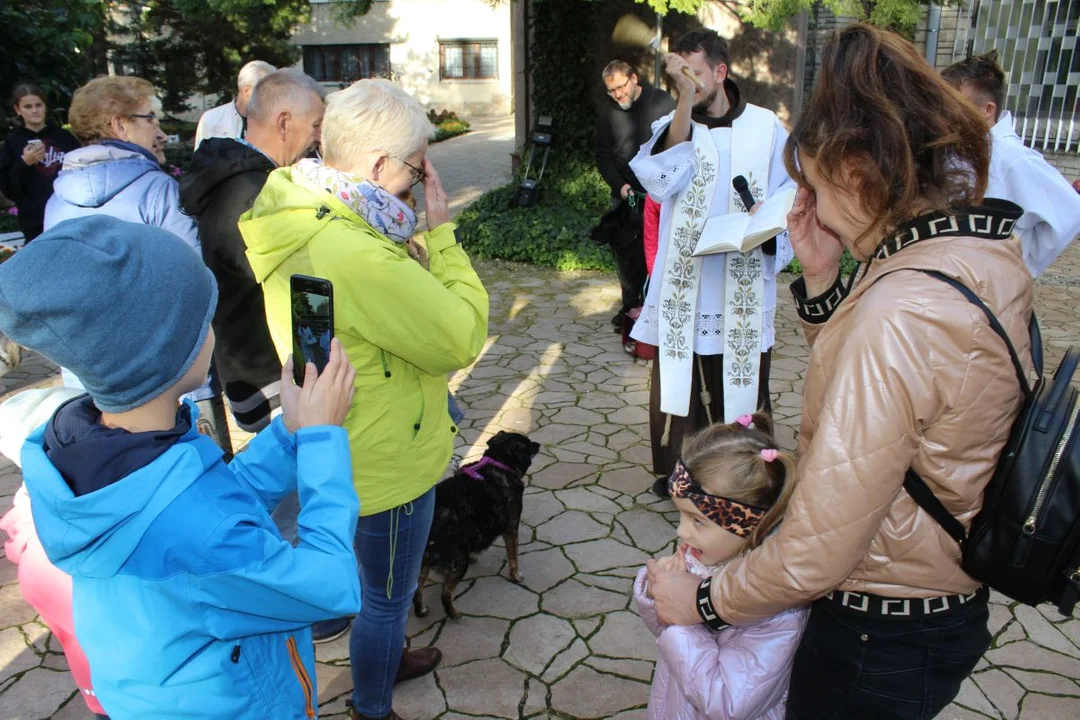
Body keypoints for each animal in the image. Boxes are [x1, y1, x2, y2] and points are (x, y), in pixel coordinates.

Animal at [412, 433, 540, 621]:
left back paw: (421, 611)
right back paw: (455, 614)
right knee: (445, 593)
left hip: (421, 565)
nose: (538, 444)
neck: (497, 463)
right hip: (457, 562)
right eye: (528, 444)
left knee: (416, 591)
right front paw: (516, 576)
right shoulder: (511, 529)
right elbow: (513, 558)